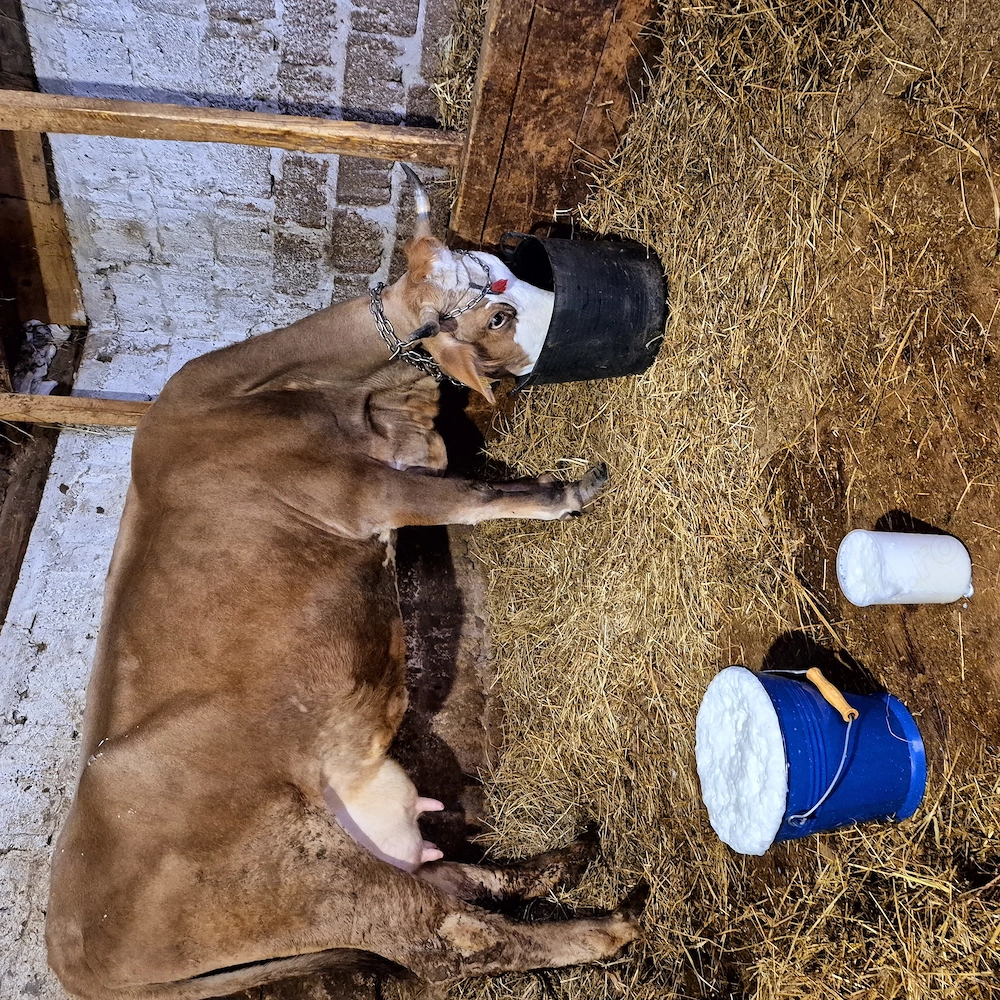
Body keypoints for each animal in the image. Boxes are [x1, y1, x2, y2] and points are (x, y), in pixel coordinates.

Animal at [45, 168, 645, 999]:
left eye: (497, 262)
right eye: (497, 312)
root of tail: (72, 956)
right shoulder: (366, 492)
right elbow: (476, 497)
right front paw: (568, 494)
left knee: (457, 881)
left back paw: (564, 860)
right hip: (318, 881)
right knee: (456, 937)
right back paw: (611, 925)